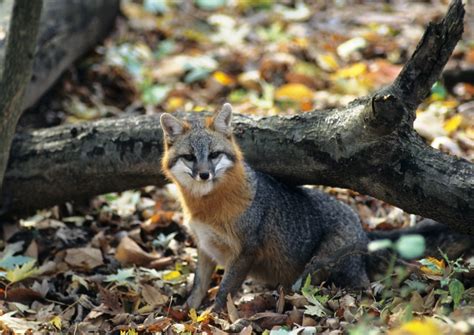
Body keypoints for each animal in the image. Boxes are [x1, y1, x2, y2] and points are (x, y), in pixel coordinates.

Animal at [160, 104, 474, 312]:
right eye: (190, 157)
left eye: (214, 155)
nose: (204, 175)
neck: (207, 208)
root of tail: (363, 230)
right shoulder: (205, 246)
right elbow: (198, 286)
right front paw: (187, 313)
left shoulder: (246, 250)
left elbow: (224, 291)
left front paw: (212, 318)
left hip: (315, 268)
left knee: (358, 288)